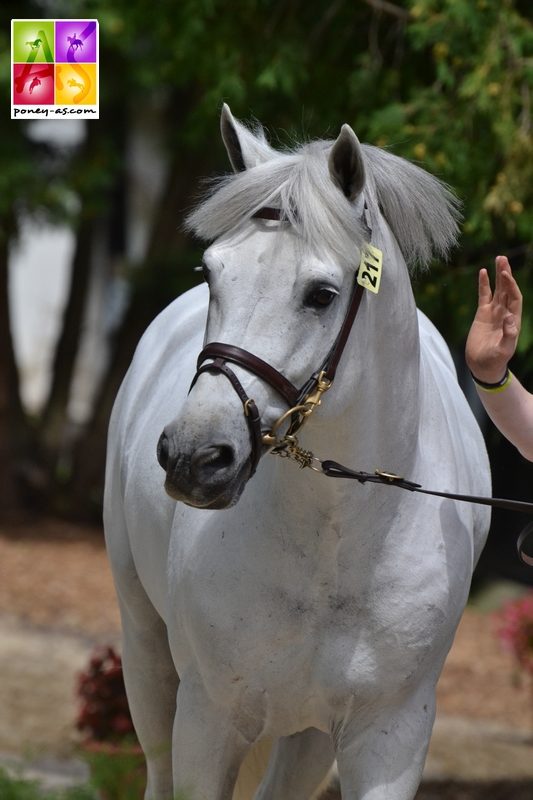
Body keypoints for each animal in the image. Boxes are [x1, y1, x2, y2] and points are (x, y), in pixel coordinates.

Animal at [105, 108, 490, 800]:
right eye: (211, 273)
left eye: (321, 294)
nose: (195, 457)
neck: (334, 539)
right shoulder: (207, 723)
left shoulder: (388, 740)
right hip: (146, 653)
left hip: (309, 735)